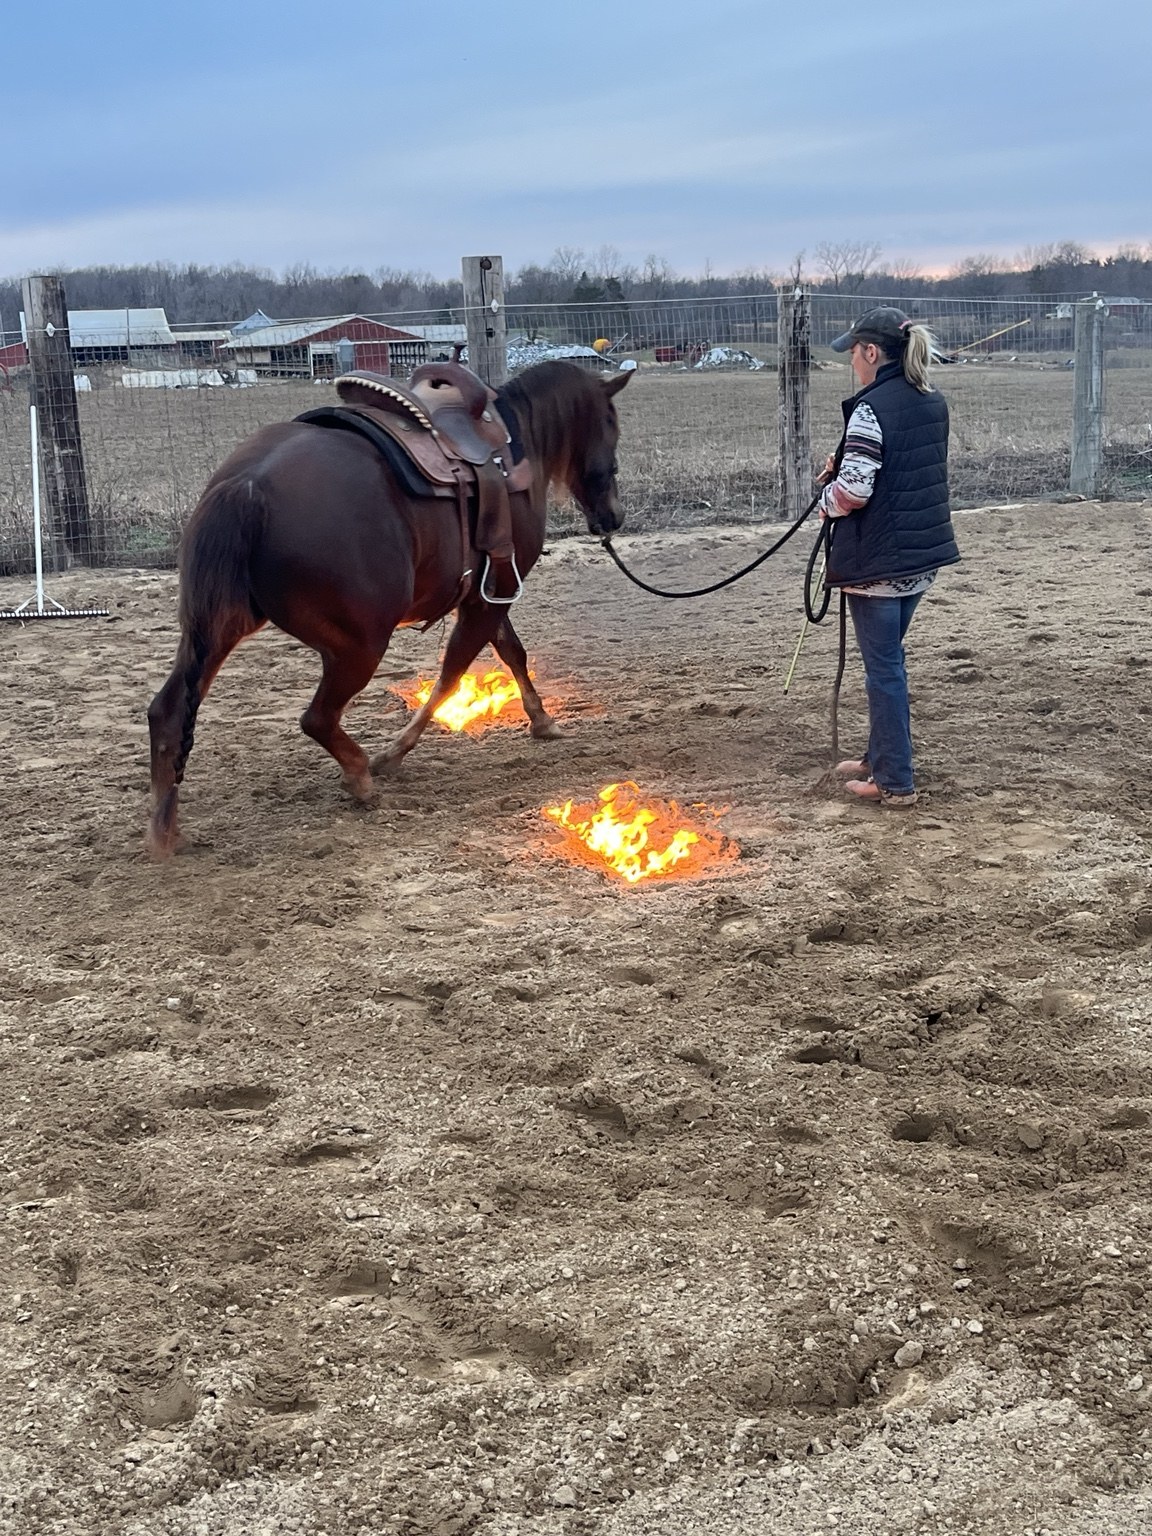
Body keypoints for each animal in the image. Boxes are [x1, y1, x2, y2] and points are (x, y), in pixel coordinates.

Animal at [146, 360, 632, 858]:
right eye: (611, 423)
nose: (613, 515)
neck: (514, 446)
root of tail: (246, 485)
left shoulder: (486, 593)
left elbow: (510, 652)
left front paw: (541, 720)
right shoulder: (493, 594)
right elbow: (452, 675)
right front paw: (393, 754)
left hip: (215, 631)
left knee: (168, 712)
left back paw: (165, 832)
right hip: (359, 646)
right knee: (318, 718)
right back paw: (361, 776)